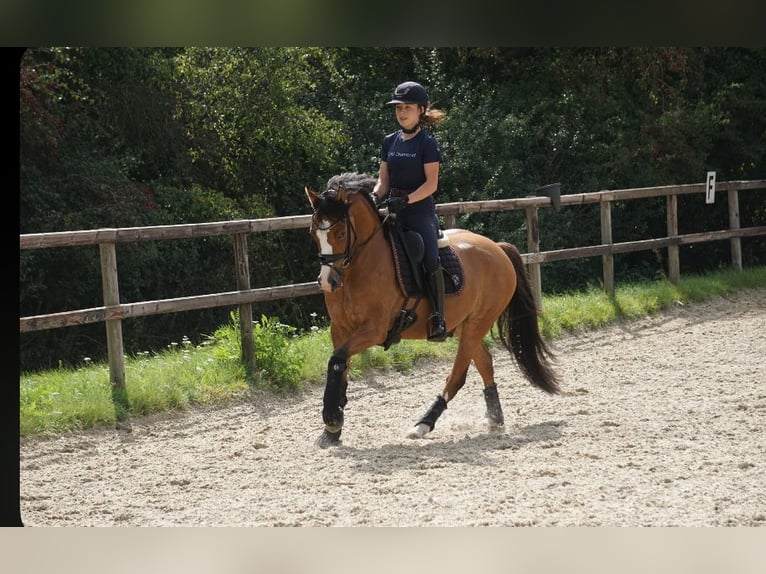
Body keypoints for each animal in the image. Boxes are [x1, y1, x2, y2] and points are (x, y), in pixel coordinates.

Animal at [305, 172, 560, 448]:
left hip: (477, 323)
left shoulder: (375, 329)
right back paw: (495, 417)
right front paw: (332, 430)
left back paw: (423, 424)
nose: (327, 282)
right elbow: (340, 365)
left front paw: (332, 419)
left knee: (458, 376)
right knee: (485, 362)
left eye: (341, 233)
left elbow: (337, 360)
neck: (358, 266)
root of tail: (498, 248)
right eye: (313, 233)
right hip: (464, 325)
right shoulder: (340, 328)